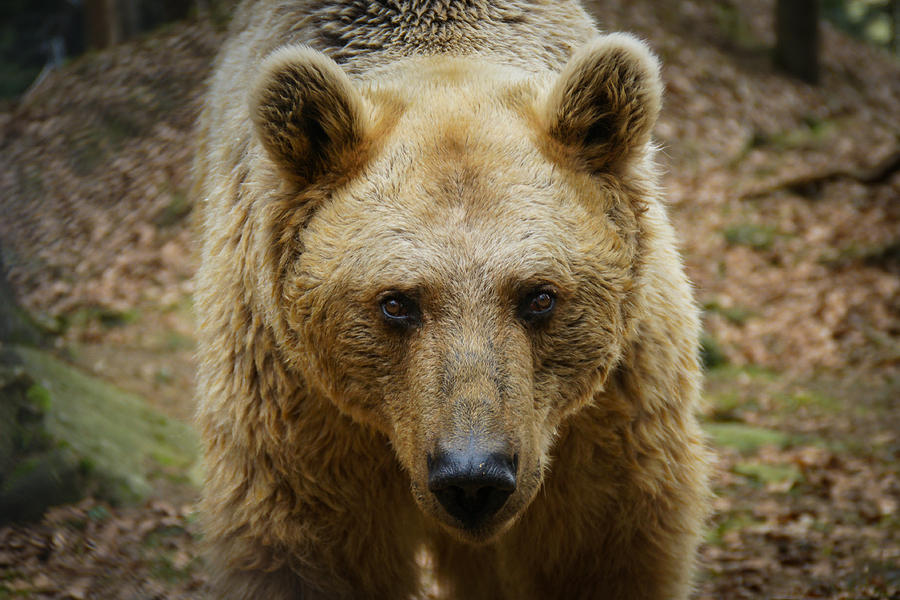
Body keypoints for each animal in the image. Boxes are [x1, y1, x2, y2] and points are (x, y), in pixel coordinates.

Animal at [195, 1, 712, 600]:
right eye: (396, 302)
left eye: (540, 296)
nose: (472, 477)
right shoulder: (294, 410)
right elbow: (304, 551)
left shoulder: (610, 417)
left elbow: (604, 551)